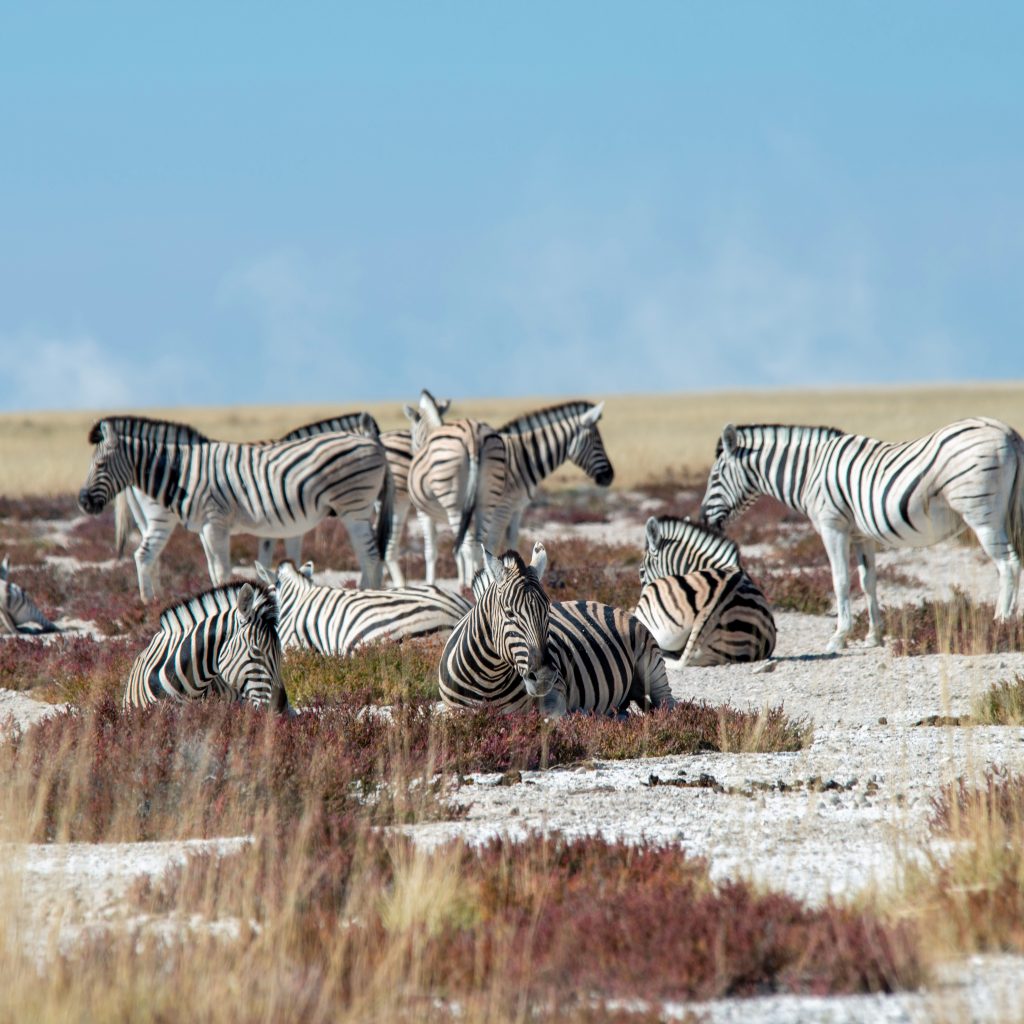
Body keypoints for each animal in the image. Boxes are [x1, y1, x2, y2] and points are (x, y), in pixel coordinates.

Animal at [79, 415, 394, 592]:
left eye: (101, 465)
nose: (83, 502)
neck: (181, 471)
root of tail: (374, 444)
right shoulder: (206, 527)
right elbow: (216, 570)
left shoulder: (215, 523)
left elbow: (222, 570)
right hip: (357, 509)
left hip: (354, 507)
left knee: (370, 555)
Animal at [439, 543, 676, 717]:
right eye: (509, 613)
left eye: (547, 611)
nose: (544, 677)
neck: (489, 679)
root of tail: (601, 603)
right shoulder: (453, 714)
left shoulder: (557, 691)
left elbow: (552, 720)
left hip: (651, 663)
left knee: (667, 704)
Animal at [486, 401, 614, 552]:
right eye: (597, 442)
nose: (610, 475)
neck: (521, 456)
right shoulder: (502, 507)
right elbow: (489, 544)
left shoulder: (516, 508)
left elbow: (511, 541)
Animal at [700, 418, 1024, 652]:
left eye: (715, 477)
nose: (703, 518)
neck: (809, 472)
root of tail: (1007, 431)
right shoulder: (861, 535)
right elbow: (869, 582)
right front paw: (874, 636)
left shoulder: (833, 527)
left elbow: (841, 581)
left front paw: (839, 637)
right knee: (1009, 566)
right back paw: (1010, 623)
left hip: (981, 514)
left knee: (1008, 565)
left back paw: (1000, 624)